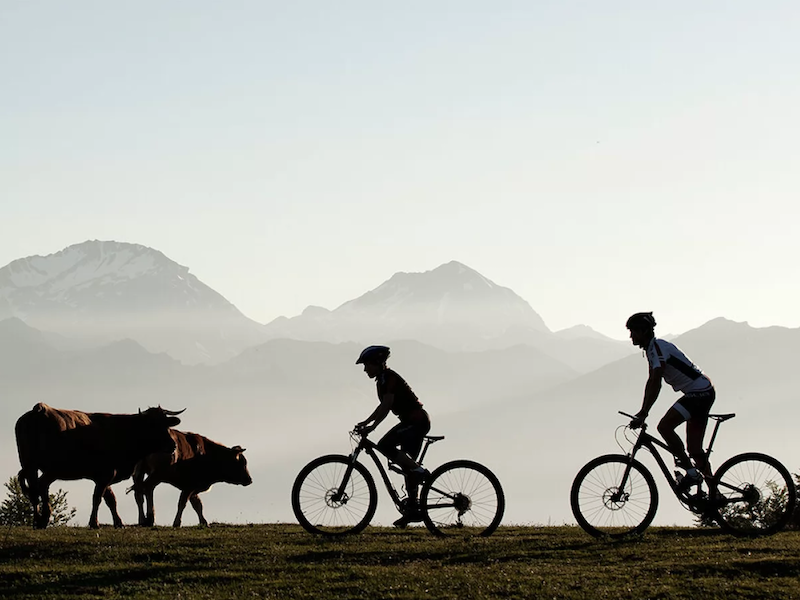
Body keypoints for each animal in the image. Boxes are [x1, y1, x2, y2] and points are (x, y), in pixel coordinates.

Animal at [16, 404, 182, 528]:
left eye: (167, 424)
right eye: (153, 426)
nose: (173, 445)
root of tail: (40, 409)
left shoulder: (105, 475)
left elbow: (110, 499)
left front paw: (118, 523)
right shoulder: (106, 473)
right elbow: (98, 498)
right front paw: (94, 523)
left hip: (30, 466)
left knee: (35, 491)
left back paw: (37, 521)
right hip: (51, 468)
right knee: (41, 486)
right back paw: (43, 519)